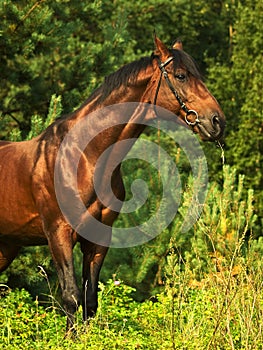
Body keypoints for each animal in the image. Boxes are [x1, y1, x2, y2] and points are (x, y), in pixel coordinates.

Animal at [0, 37, 227, 330]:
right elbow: (71, 298)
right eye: (181, 75)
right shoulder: (58, 234)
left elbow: (90, 302)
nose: (217, 121)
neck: (84, 156)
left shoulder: (98, 238)